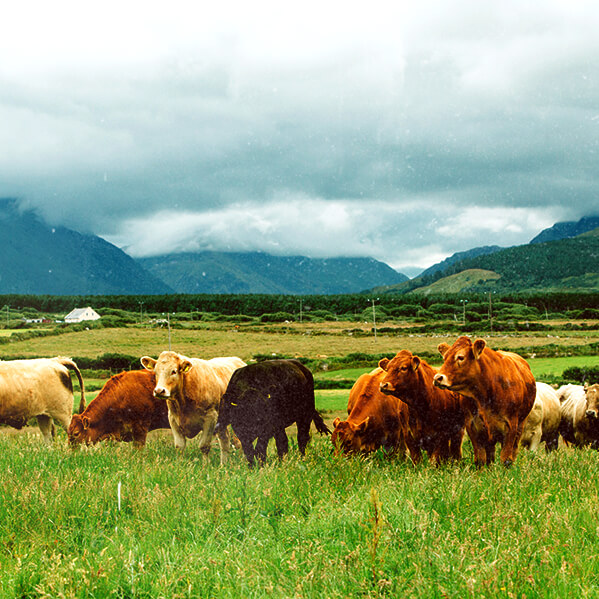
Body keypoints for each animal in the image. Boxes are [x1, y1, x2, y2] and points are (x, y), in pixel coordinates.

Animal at [434, 336, 536, 466]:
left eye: (460, 357)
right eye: (444, 358)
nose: (437, 378)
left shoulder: (511, 426)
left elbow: (506, 459)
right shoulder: (472, 426)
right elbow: (480, 459)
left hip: (521, 424)